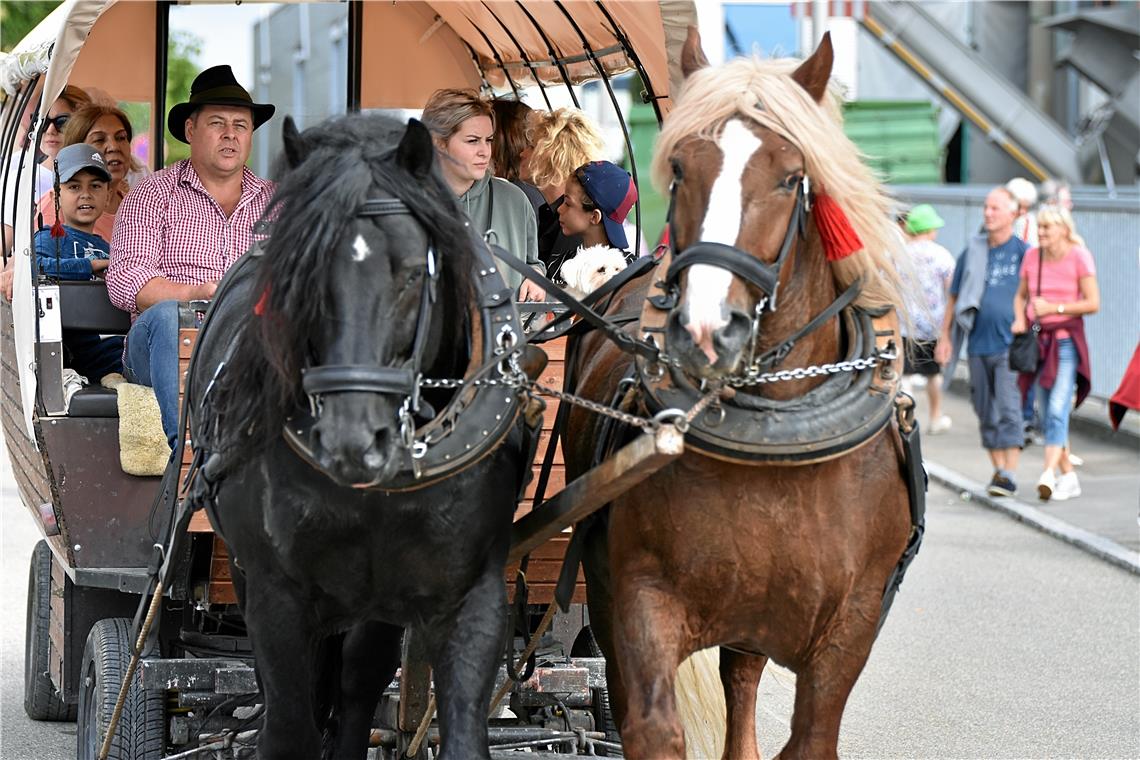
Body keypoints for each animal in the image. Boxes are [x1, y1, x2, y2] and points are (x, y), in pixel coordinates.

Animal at [188, 114, 533, 760]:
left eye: (413, 272)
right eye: (299, 273)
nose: (352, 441)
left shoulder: (469, 593)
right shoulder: (276, 595)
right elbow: (288, 728)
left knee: (357, 681)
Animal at [565, 31, 921, 760]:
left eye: (789, 177)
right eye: (678, 168)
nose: (705, 330)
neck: (776, 442)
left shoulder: (851, 625)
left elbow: (807, 737)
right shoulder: (638, 594)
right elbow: (652, 726)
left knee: (743, 677)